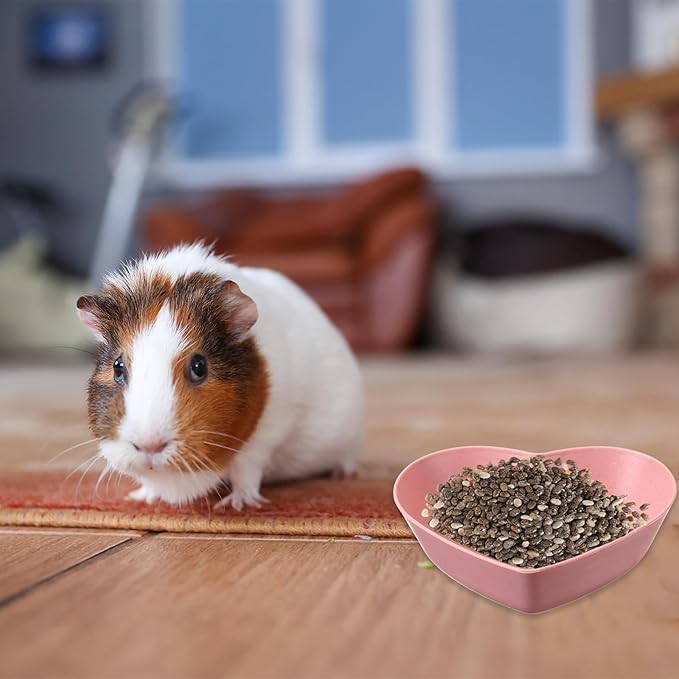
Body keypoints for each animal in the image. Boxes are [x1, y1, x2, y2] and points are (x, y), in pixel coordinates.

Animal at [76, 242, 364, 509]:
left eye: (199, 366)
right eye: (118, 367)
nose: (149, 446)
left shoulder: (266, 435)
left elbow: (246, 471)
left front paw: (238, 504)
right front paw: (141, 497)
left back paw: (344, 475)